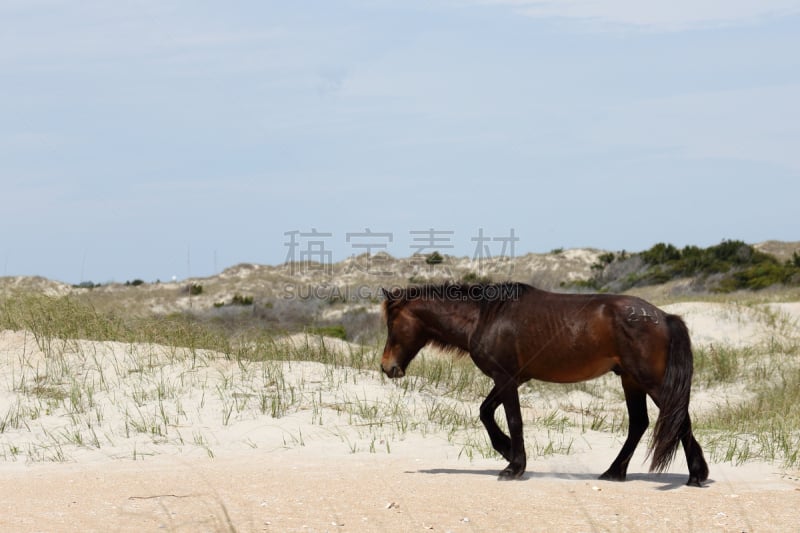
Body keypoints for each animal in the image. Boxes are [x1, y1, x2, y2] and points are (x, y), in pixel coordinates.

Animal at [382, 282, 712, 486]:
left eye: (392, 323)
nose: (387, 367)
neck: (484, 317)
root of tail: (665, 316)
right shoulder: (510, 379)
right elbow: (486, 412)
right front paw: (507, 451)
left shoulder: (506, 379)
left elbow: (513, 420)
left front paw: (514, 466)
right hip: (631, 380)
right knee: (640, 423)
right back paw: (614, 472)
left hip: (650, 381)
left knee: (676, 419)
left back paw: (696, 475)